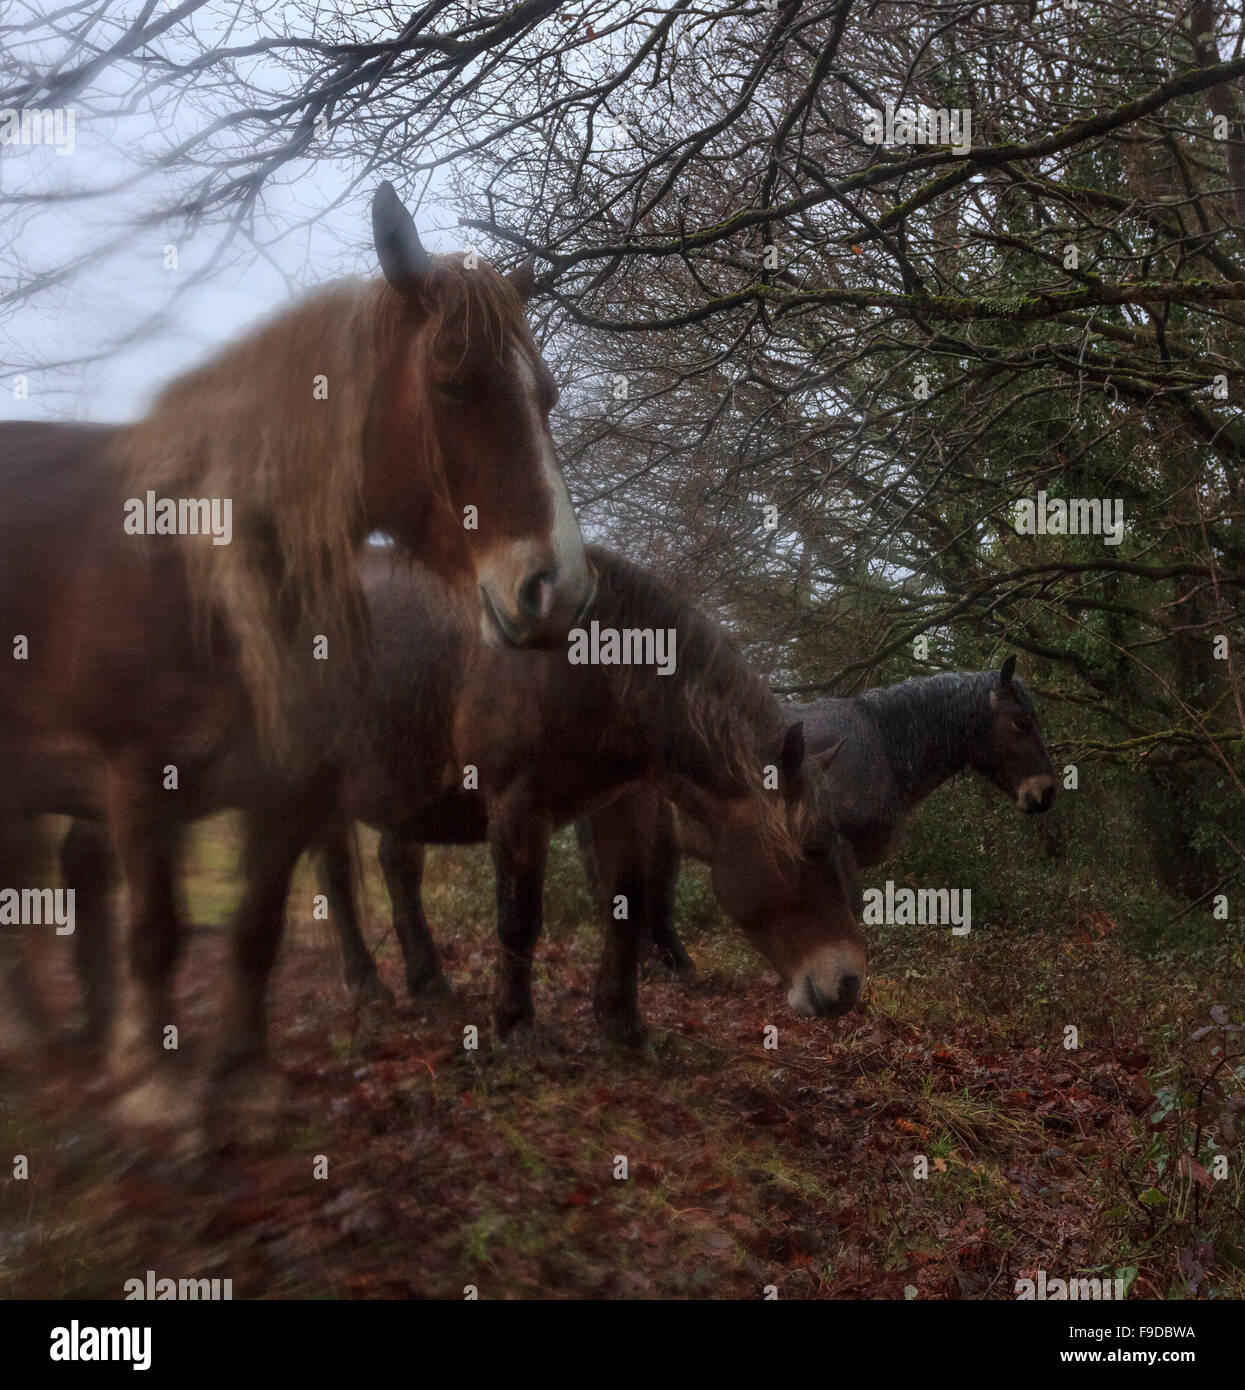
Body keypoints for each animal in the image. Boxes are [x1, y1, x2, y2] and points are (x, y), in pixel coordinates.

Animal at [0, 182, 594, 1101]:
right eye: (452, 385)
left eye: (548, 397)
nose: (556, 588)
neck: (202, 574)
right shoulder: (134, 781)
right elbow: (158, 935)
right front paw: (156, 1095)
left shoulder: (286, 784)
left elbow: (256, 930)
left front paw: (238, 1085)